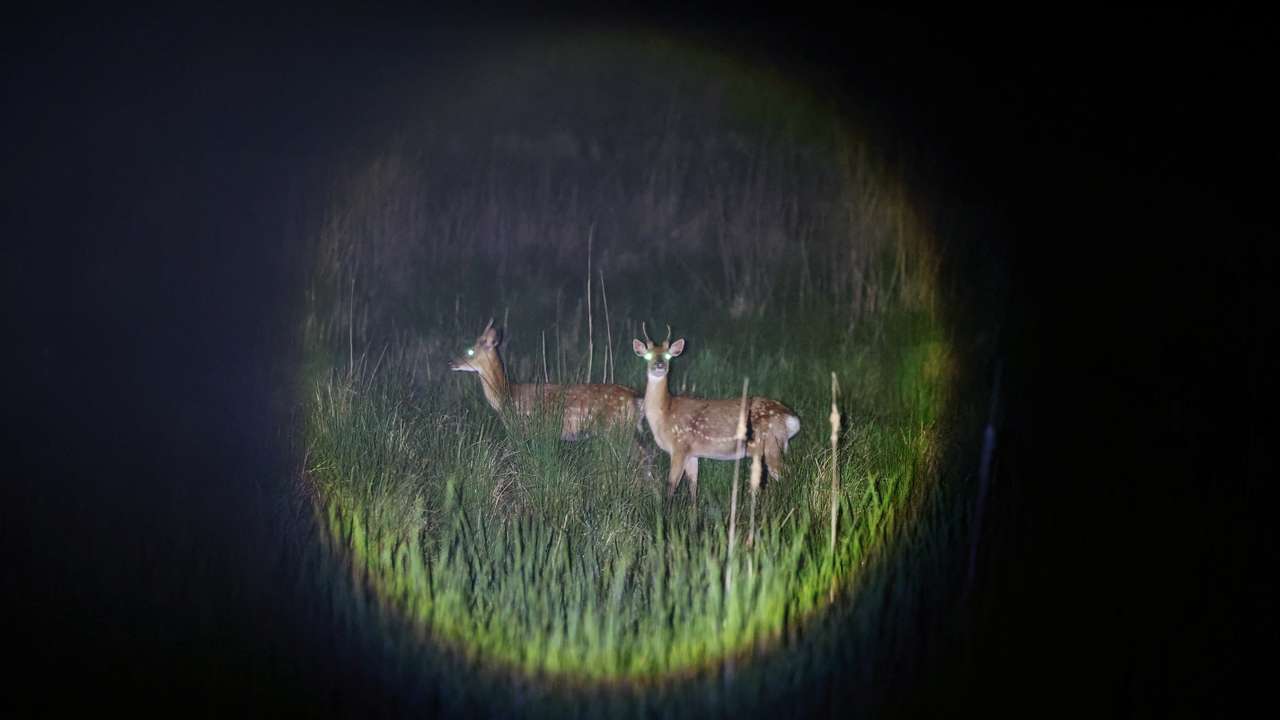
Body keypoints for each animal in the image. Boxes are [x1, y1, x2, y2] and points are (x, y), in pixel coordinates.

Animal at [449, 319, 643, 441]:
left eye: (470, 351)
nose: (451, 363)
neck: (506, 395)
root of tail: (636, 396)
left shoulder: (523, 428)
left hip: (616, 428)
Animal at [633, 324, 800, 504]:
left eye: (668, 356)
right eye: (648, 355)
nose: (659, 365)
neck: (665, 413)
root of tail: (792, 418)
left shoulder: (679, 446)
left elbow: (671, 485)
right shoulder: (692, 453)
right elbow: (693, 487)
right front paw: (693, 510)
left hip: (771, 444)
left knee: (788, 474)